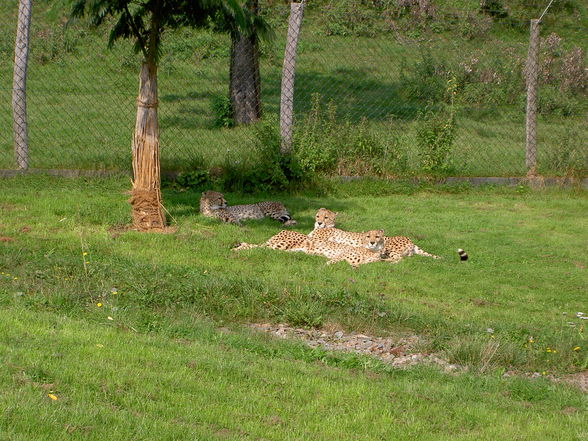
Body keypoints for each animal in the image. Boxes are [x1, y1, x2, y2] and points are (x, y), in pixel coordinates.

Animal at [310, 206, 438, 262]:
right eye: (317, 216)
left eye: (326, 217)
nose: (319, 222)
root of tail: (408, 239)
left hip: (388, 248)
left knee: (399, 258)